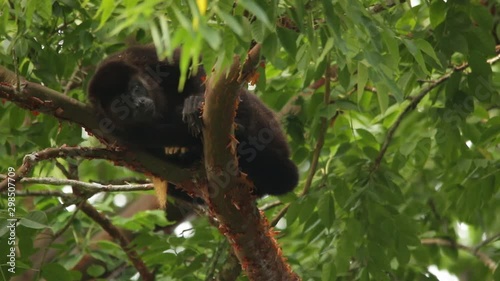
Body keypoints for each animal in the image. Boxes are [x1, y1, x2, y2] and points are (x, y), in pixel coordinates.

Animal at [88, 45, 298, 203]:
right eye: (121, 104)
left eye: (136, 88)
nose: (139, 103)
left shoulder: (144, 56)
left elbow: (193, 66)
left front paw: (195, 102)